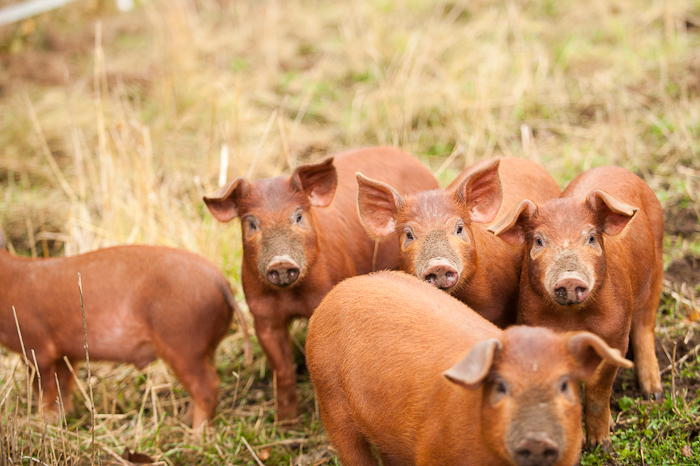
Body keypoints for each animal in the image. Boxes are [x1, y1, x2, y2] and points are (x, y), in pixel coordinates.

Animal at [0, 246, 252, 428]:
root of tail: (221, 282)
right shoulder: (64, 353)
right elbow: (64, 384)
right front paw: (66, 415)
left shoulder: (36, 348)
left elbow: (44, 388)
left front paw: (43, 422)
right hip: (204, 348)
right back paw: (184, 421)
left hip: (184, 343)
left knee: (208, 385)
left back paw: (195, 436)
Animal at [200, 147, 438, 422]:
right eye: (251, 223)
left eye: (298, 216)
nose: (281, 262)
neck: (292, 297)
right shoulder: (263, 316)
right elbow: (283, 371)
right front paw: (286, 423)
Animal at [306, 270, 636, 466]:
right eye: (500, 386)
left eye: (564, 385)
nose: (537, 439)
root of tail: (341, 289)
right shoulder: (433, 452)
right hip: (330, 399)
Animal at [486, 166, 660, 450]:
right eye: (539, 241)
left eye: (590, 238)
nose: (569, 278)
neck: (574, 320)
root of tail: (616, 168)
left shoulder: (616, 339)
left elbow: (599, 389)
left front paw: (601, 446)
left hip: (658, 264)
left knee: (646, 323)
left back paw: (654, 394)